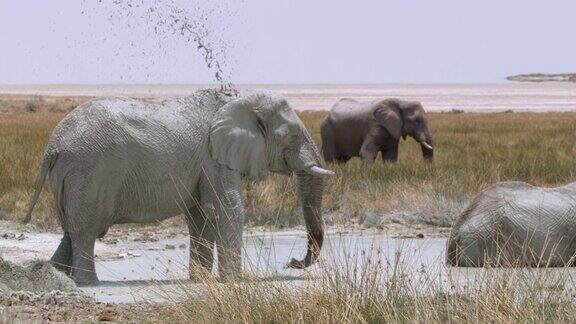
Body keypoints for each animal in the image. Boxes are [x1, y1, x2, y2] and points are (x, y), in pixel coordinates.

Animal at [23, 90, 332, 284]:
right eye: (291, 135)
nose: (291, 262)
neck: (238, 98)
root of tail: (53, 146)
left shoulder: (205, 165)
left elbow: (201, 215)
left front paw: (201, 281)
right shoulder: (214, 158)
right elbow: (228, 209)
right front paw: (235, 282)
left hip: (71, 176)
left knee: (71, 231)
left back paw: (55, 277)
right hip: (89, 172)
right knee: (85, 230)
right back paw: (89, 284)